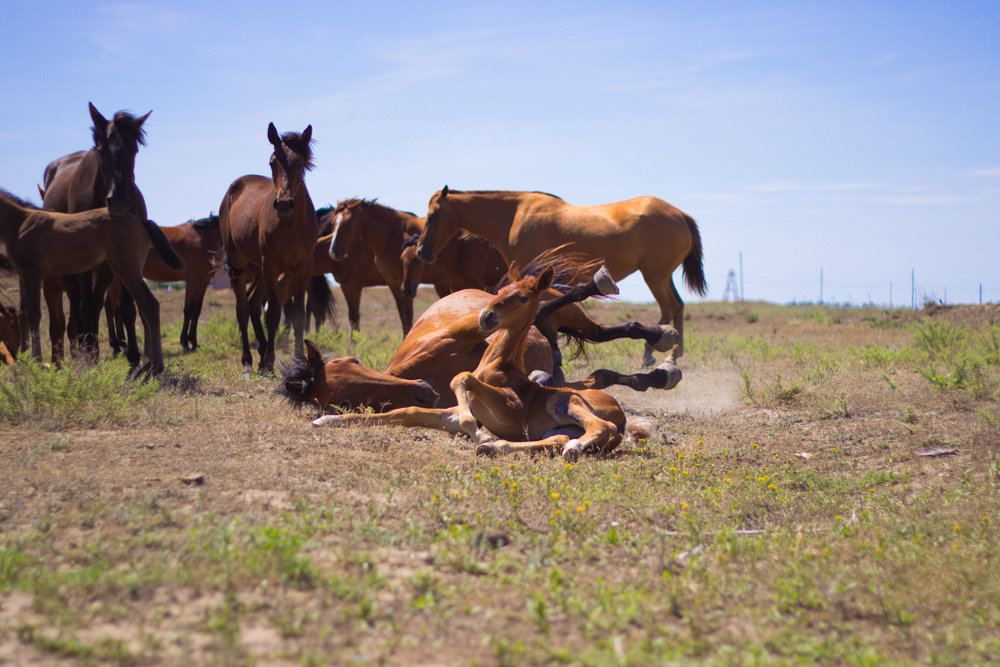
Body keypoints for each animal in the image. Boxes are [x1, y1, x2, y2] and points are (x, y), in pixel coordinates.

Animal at [41, 103, 152, 366]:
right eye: (101, 150)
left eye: (134, 150)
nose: (119, 201)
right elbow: (86, 307)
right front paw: (89, 355)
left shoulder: (118, 264)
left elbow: (123, 308)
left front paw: (133, 358)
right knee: (76, 310)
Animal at [221, 124, 318, 376]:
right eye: (272, 162)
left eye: (301, 162)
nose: (283, 204)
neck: (291, 224)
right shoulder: (271, 264)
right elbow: (273, 312)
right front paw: (270, 363)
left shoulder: (303, 267)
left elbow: (298, 315)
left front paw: (299, 361)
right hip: (240, 265)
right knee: (242, 308)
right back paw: (248, 362)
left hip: (259, 269)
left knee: (253, 303)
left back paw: (261, 354)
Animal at [308, 264, 660, 460]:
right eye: (502, 289)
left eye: (523, 297)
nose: (486, 316)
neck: (496, 364)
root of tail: (623, 417)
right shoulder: (447, 413)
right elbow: (405, 412)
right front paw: (328, 420)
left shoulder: (511, 411)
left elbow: (462, 377)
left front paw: (479, 432)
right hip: (552, 426)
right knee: (559, 438)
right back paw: (496, 447)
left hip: (564, 401)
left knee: (598, 426)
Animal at [412, 188, 704, 366]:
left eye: (432, 215)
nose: (421, 251)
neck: (513, 216)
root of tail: (680, 214)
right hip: (661, 275)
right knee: (677, 305)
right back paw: (673, 352)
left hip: (655, 275)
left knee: (669, 306)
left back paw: (654, 354)